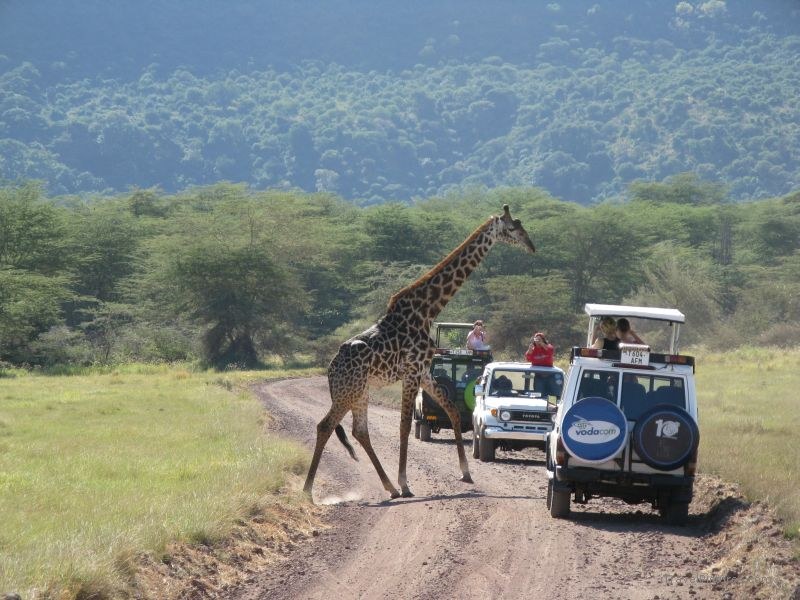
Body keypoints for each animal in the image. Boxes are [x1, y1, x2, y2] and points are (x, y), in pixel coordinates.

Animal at [303, 205, 536, 500]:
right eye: (513, 228)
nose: (532, 247)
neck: (427, 310)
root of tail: (331, 370)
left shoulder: (424, 372)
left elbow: (452, 411)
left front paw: (466, 473)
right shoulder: (412, 372)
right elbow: (404, 425)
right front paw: (406, 483)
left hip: (360, 392)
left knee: (359, 431)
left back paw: (389, 487)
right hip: (349, 391)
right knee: (326, 426)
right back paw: (309, 491)